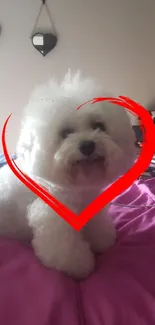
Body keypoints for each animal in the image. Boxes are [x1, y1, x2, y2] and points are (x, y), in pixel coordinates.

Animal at [0, 72, 136, 278]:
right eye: (65, 133)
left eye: (98, 125)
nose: (87, 145)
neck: (77, 190)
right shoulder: (53, 223)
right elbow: (67, 253)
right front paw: (82, 267)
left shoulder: (90, 208)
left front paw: (102, 241)